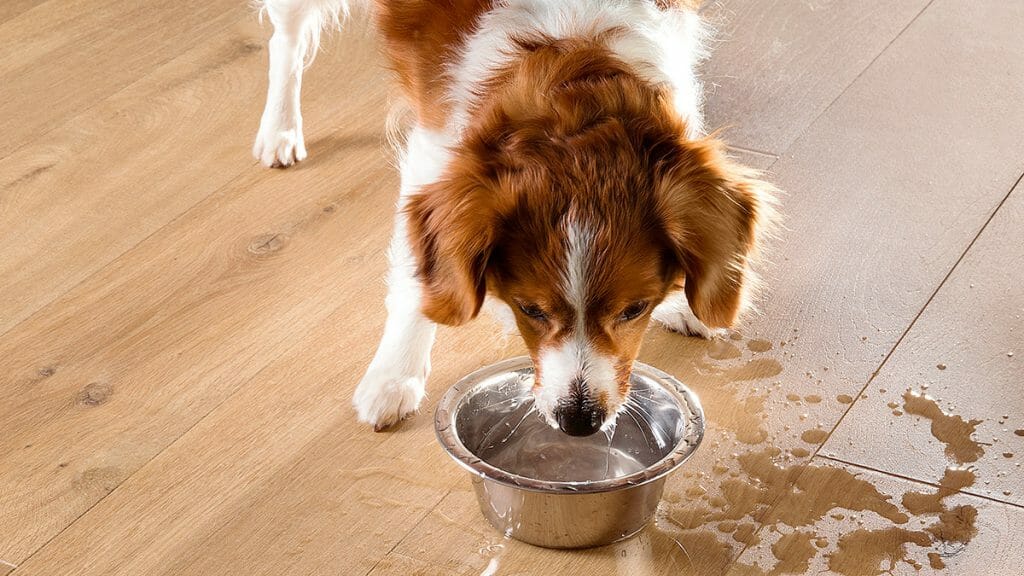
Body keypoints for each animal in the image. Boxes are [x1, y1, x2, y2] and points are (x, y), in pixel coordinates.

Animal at [253, 0, 774, 432]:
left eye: (634, 310)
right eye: (530, 310)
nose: (579, 421)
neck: (573, 60)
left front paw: (680, 302)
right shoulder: (434, 160)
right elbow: (414, 282)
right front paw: (394, 376)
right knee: (285, 41)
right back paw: (279, 129)